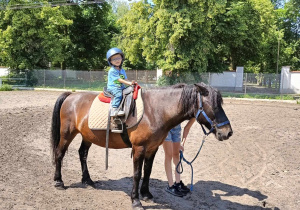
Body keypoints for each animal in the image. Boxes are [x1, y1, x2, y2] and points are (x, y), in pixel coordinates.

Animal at [50, 83, 233, 209]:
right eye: (213, 106)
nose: (228, 132)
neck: (154, 111)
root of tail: (70, 96)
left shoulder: (152, 148)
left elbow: (148, 171)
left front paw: (146, 194)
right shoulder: (138, 148)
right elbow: (137, 174)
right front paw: (136, 200)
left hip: (88, 136)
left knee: (82, 154)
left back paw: (87, 180)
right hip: (67, 134)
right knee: (59, 153)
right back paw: (59, 181)